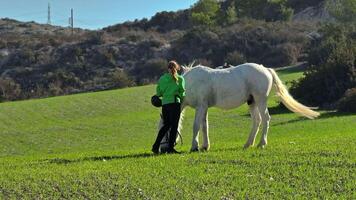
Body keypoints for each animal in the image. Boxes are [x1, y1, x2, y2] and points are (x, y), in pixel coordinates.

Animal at [159, 63, 320, 152]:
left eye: (163, 131)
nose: (161, 149)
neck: (188, 83)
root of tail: (265, 69)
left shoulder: (200, 107)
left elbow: (196, 126)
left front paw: (195, 146)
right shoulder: (204, 108)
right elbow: (205, 127)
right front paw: (205, 146)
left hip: (261, 100)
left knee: (265, 119)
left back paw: (261, 144)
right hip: (252, 102)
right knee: (257, 121)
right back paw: (248, 144)